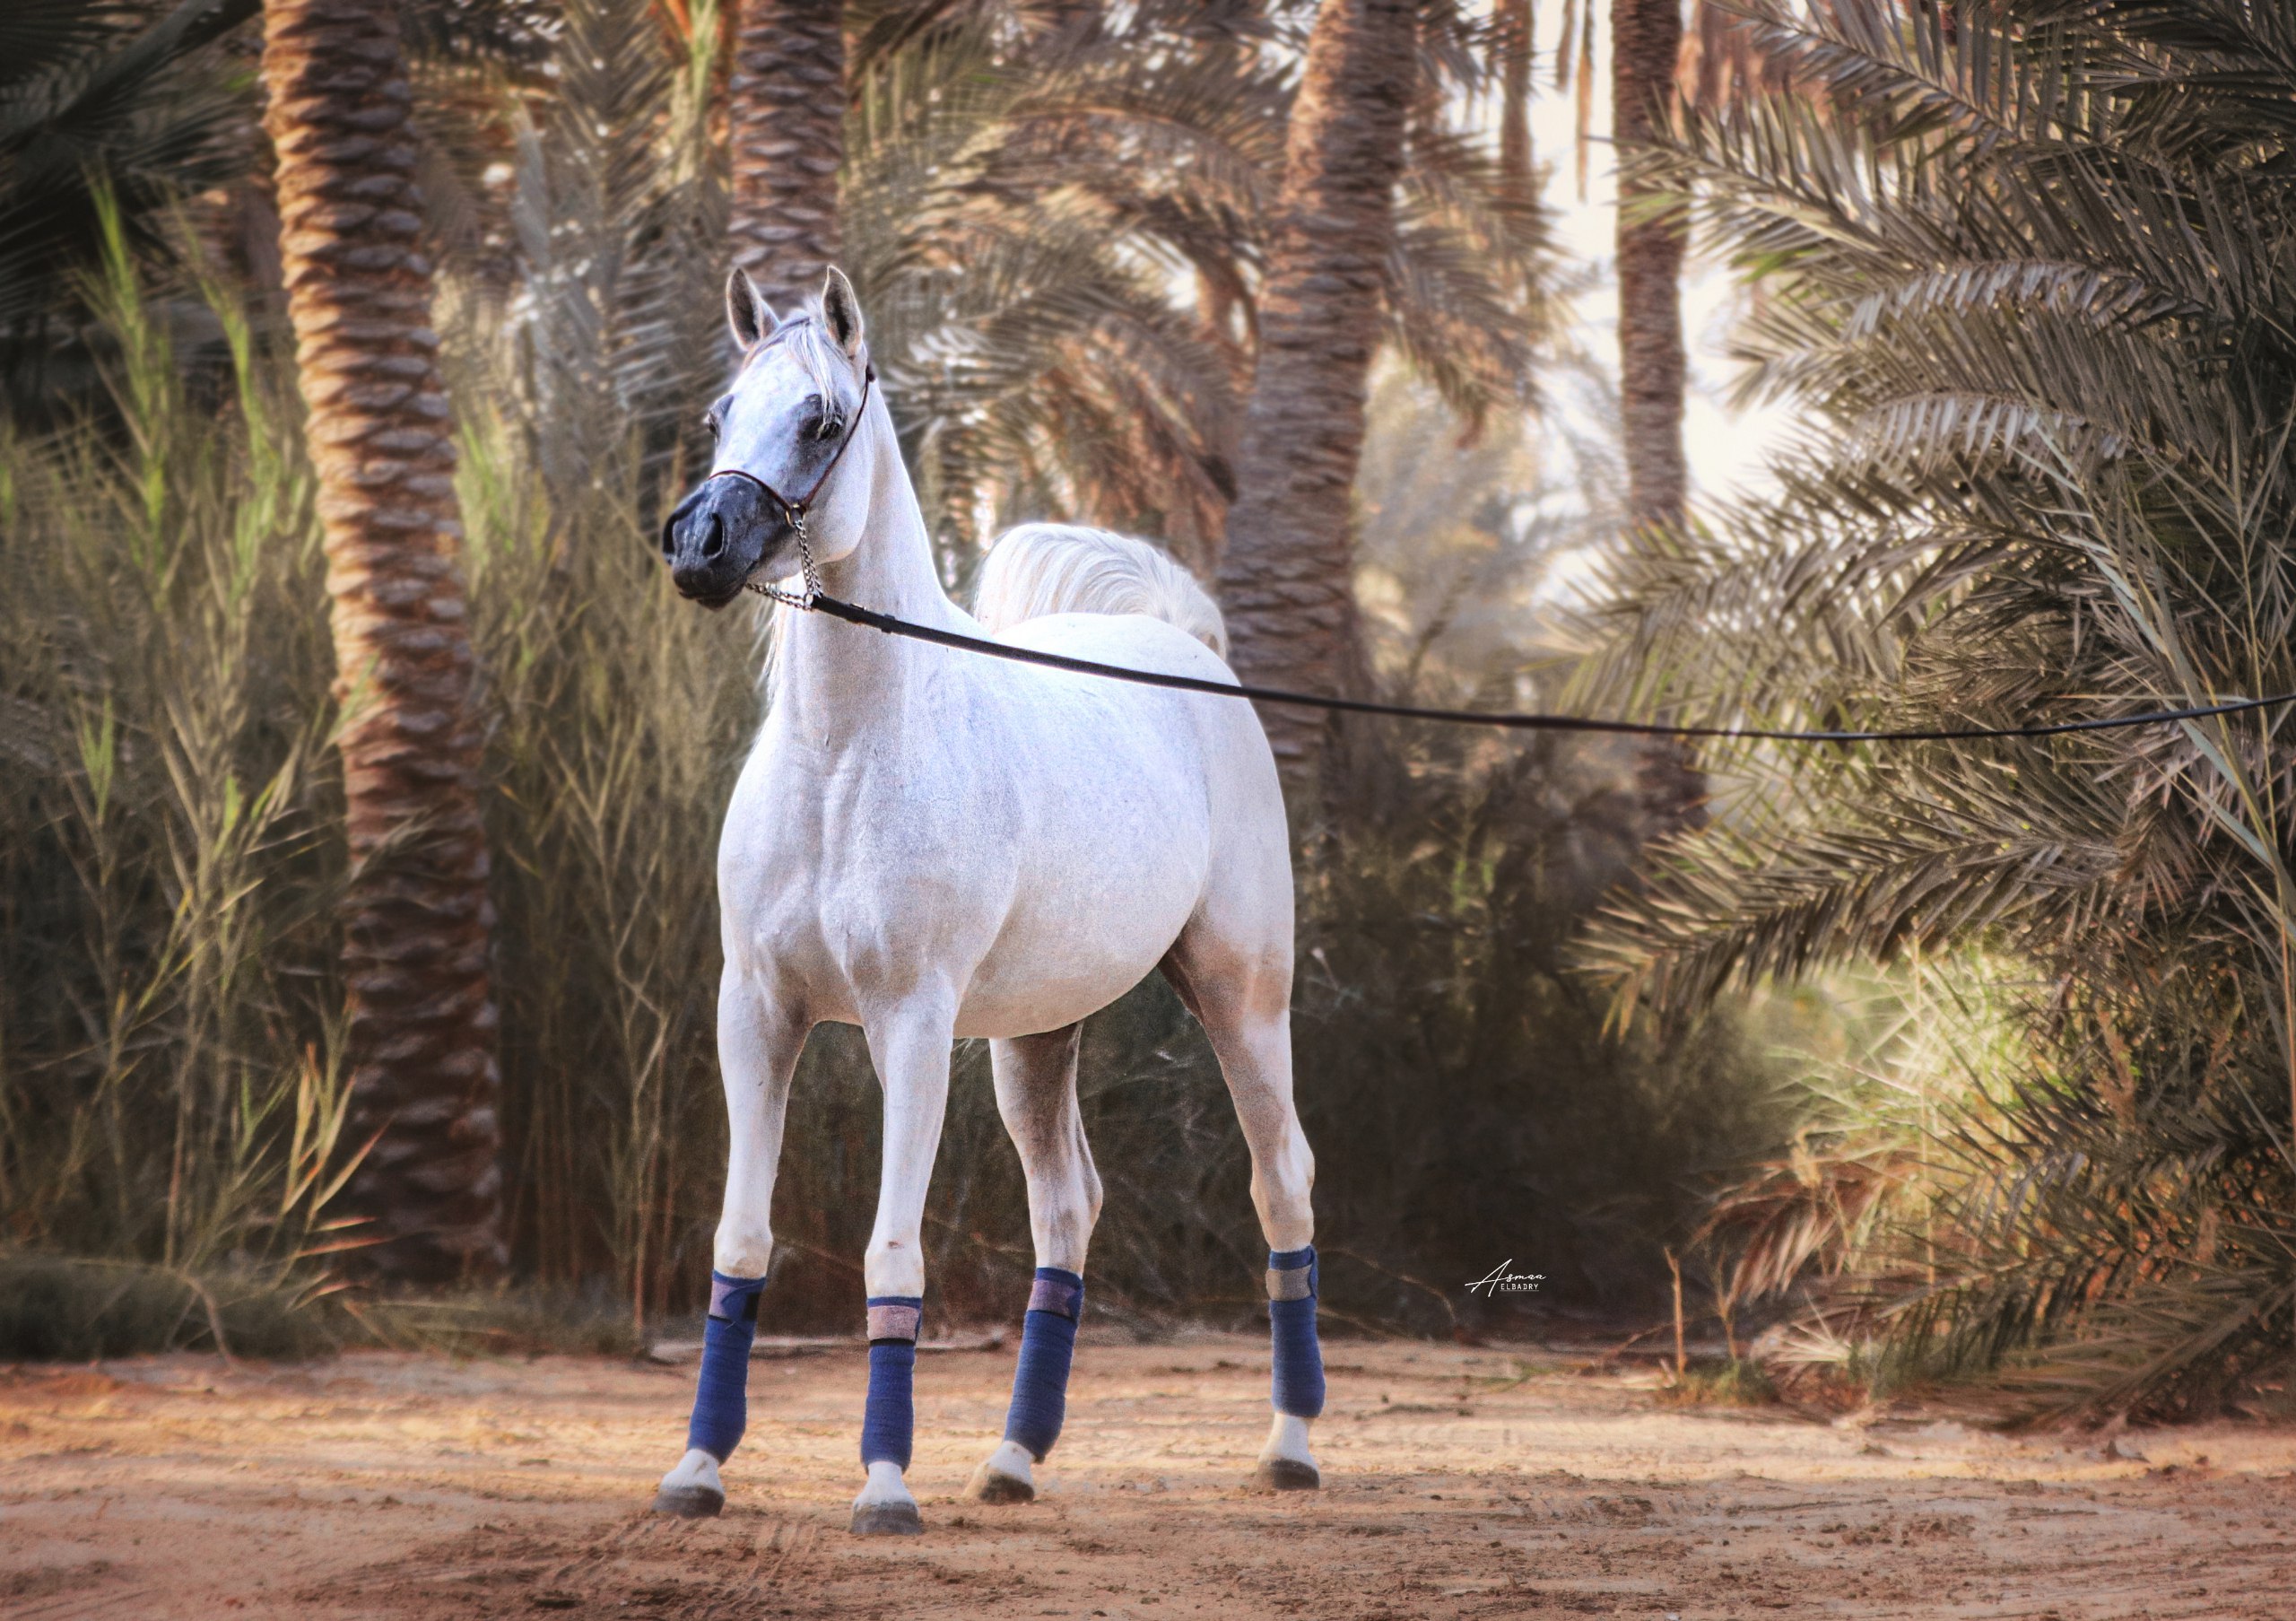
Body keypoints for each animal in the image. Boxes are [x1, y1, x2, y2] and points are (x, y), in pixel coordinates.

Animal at [649, 265, 1325, 1535]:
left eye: (820, 419)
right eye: (720, 412)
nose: (699, 546)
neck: (845, 759)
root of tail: (1185, 648)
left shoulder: (911, 1027)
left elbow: (891, 1253)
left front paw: (882, 1485)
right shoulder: (755, 1016)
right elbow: (742, 1240)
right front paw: (698, 1468)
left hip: (1241, 1000)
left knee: (1283, 1188)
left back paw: (1292, 1446)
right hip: (1036, 1038)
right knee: (1066, 1207)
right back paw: (1013, 1459)